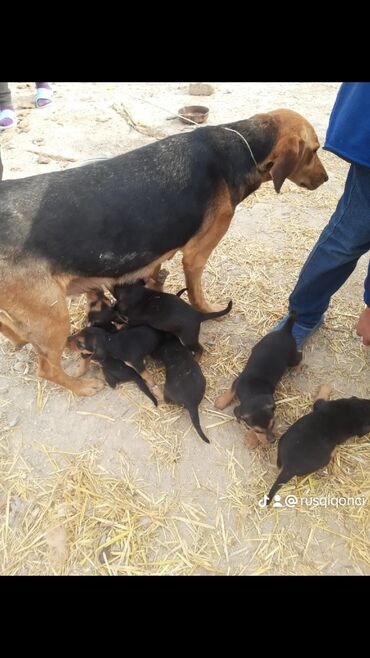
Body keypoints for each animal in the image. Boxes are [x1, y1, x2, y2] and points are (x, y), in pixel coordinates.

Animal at [1, 110, 328, 392]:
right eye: (314, 151)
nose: (326, 179)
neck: (239, 148)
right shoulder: (196, 256)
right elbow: (197, 295)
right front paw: (207, 310)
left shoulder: (157, 253)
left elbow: (154, 278)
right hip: (53, 317)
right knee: (46, 368)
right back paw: (81, 387)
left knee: (14, 330)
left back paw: (21, 340)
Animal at [215, 314, 302, 446]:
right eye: (258, 431)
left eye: (273, 424)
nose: (272, 441)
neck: (252, 393)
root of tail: (285, 330)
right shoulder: (237, 381)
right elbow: (230, 391)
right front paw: (221, 402)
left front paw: (251, 439)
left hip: (291, 358)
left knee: (301, 356)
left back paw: (297, 369)